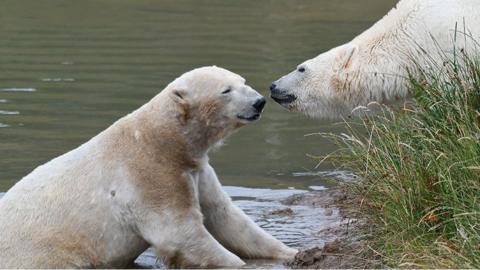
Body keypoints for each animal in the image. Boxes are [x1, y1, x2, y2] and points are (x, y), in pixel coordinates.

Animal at [0, 66, 296, 268]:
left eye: (242, 81)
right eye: (226, 90)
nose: (259, 101)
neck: (163, 138)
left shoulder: (196, 168)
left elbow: (227, 218)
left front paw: (290, 253)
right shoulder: (149, 174)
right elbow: (179, 233)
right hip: (43, 252)